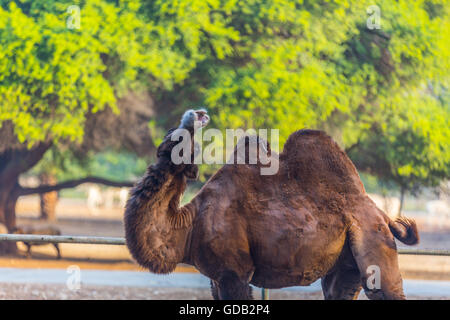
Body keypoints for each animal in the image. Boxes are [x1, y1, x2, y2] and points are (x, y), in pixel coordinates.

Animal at [124, 110, 418, 300]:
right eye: (170, 136)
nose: (198, 115)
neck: (189, 225)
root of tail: (382, 214)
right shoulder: (215, 278)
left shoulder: (234, 272)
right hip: (347, 260)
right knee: (340, 290)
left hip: (374, 238)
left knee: (386, 288)